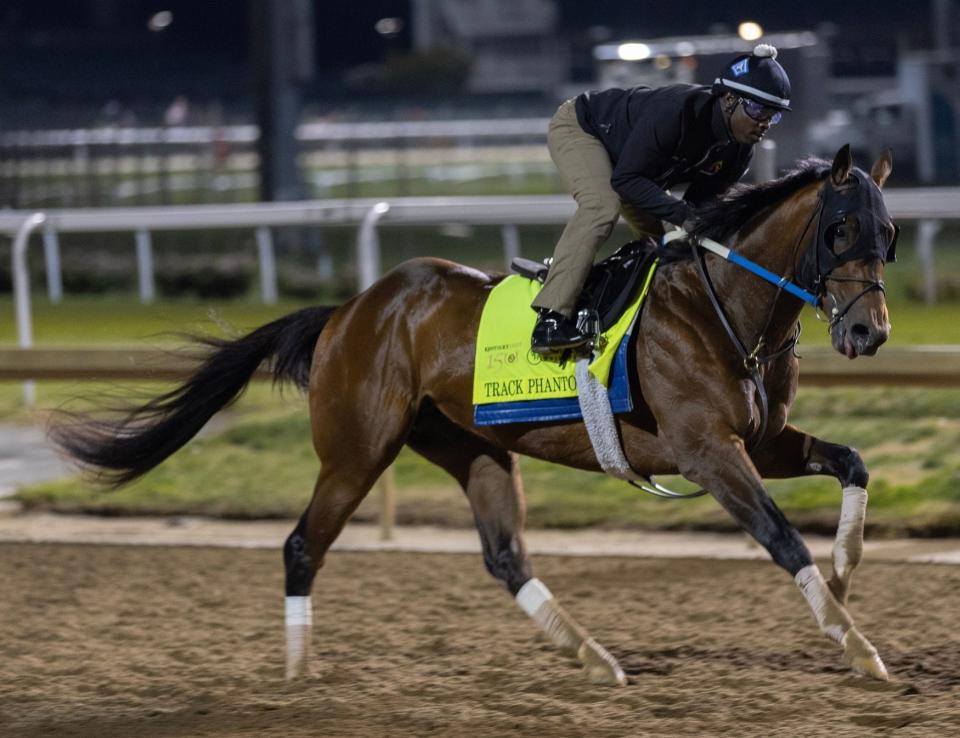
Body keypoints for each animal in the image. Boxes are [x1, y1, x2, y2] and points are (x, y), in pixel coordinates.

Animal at [47, 144, 900, 684]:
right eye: (839, 230)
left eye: (888, 235)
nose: (870, 333)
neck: (719, 304)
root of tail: (347, 311)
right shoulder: (706, 450)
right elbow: (780, 537)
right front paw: (855, 643)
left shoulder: (760, 440)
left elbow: (854, 462)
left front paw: (848, 570)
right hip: (357, 450)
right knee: (300, 545)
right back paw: (296, 671)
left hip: (474, 448)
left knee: (504, 556)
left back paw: (593, 658)